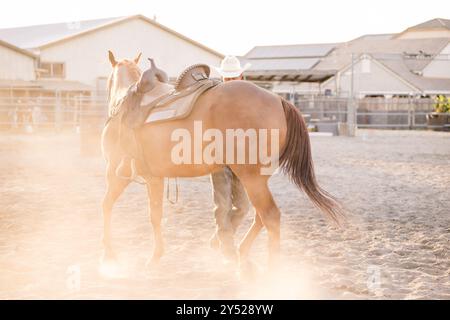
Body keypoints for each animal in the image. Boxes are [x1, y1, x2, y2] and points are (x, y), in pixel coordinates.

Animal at [100, 52, 342, 272]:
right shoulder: (154, 177)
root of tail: (278, 100)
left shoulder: (124, 174)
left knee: (270, 216)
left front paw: (120, 254)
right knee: (258, 216)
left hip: (252, 179)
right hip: (255, 179)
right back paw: (239, 252)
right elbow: (150, 213)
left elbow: (124, 209)